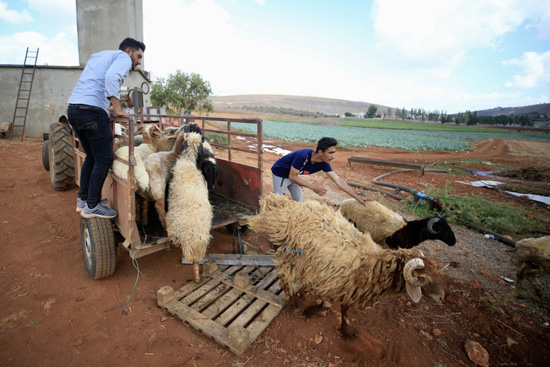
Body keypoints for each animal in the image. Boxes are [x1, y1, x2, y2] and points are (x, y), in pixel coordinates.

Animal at [166, 132, 213, 282]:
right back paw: (197, 279)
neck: (188, 160)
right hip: (199, 251)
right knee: (196, 265)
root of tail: (195, 240)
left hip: (172, 225)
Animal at [248, 194, 446, 340]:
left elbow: (344, 309)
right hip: (290, 255)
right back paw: (294, 304)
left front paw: (346, 330)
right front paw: (308, 312)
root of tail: (285, 207)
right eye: (423, 278)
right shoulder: (331, 282)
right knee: (285, 279)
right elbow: (328, 305)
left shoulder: (348, 286)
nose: (442, 297)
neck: (370, 264)